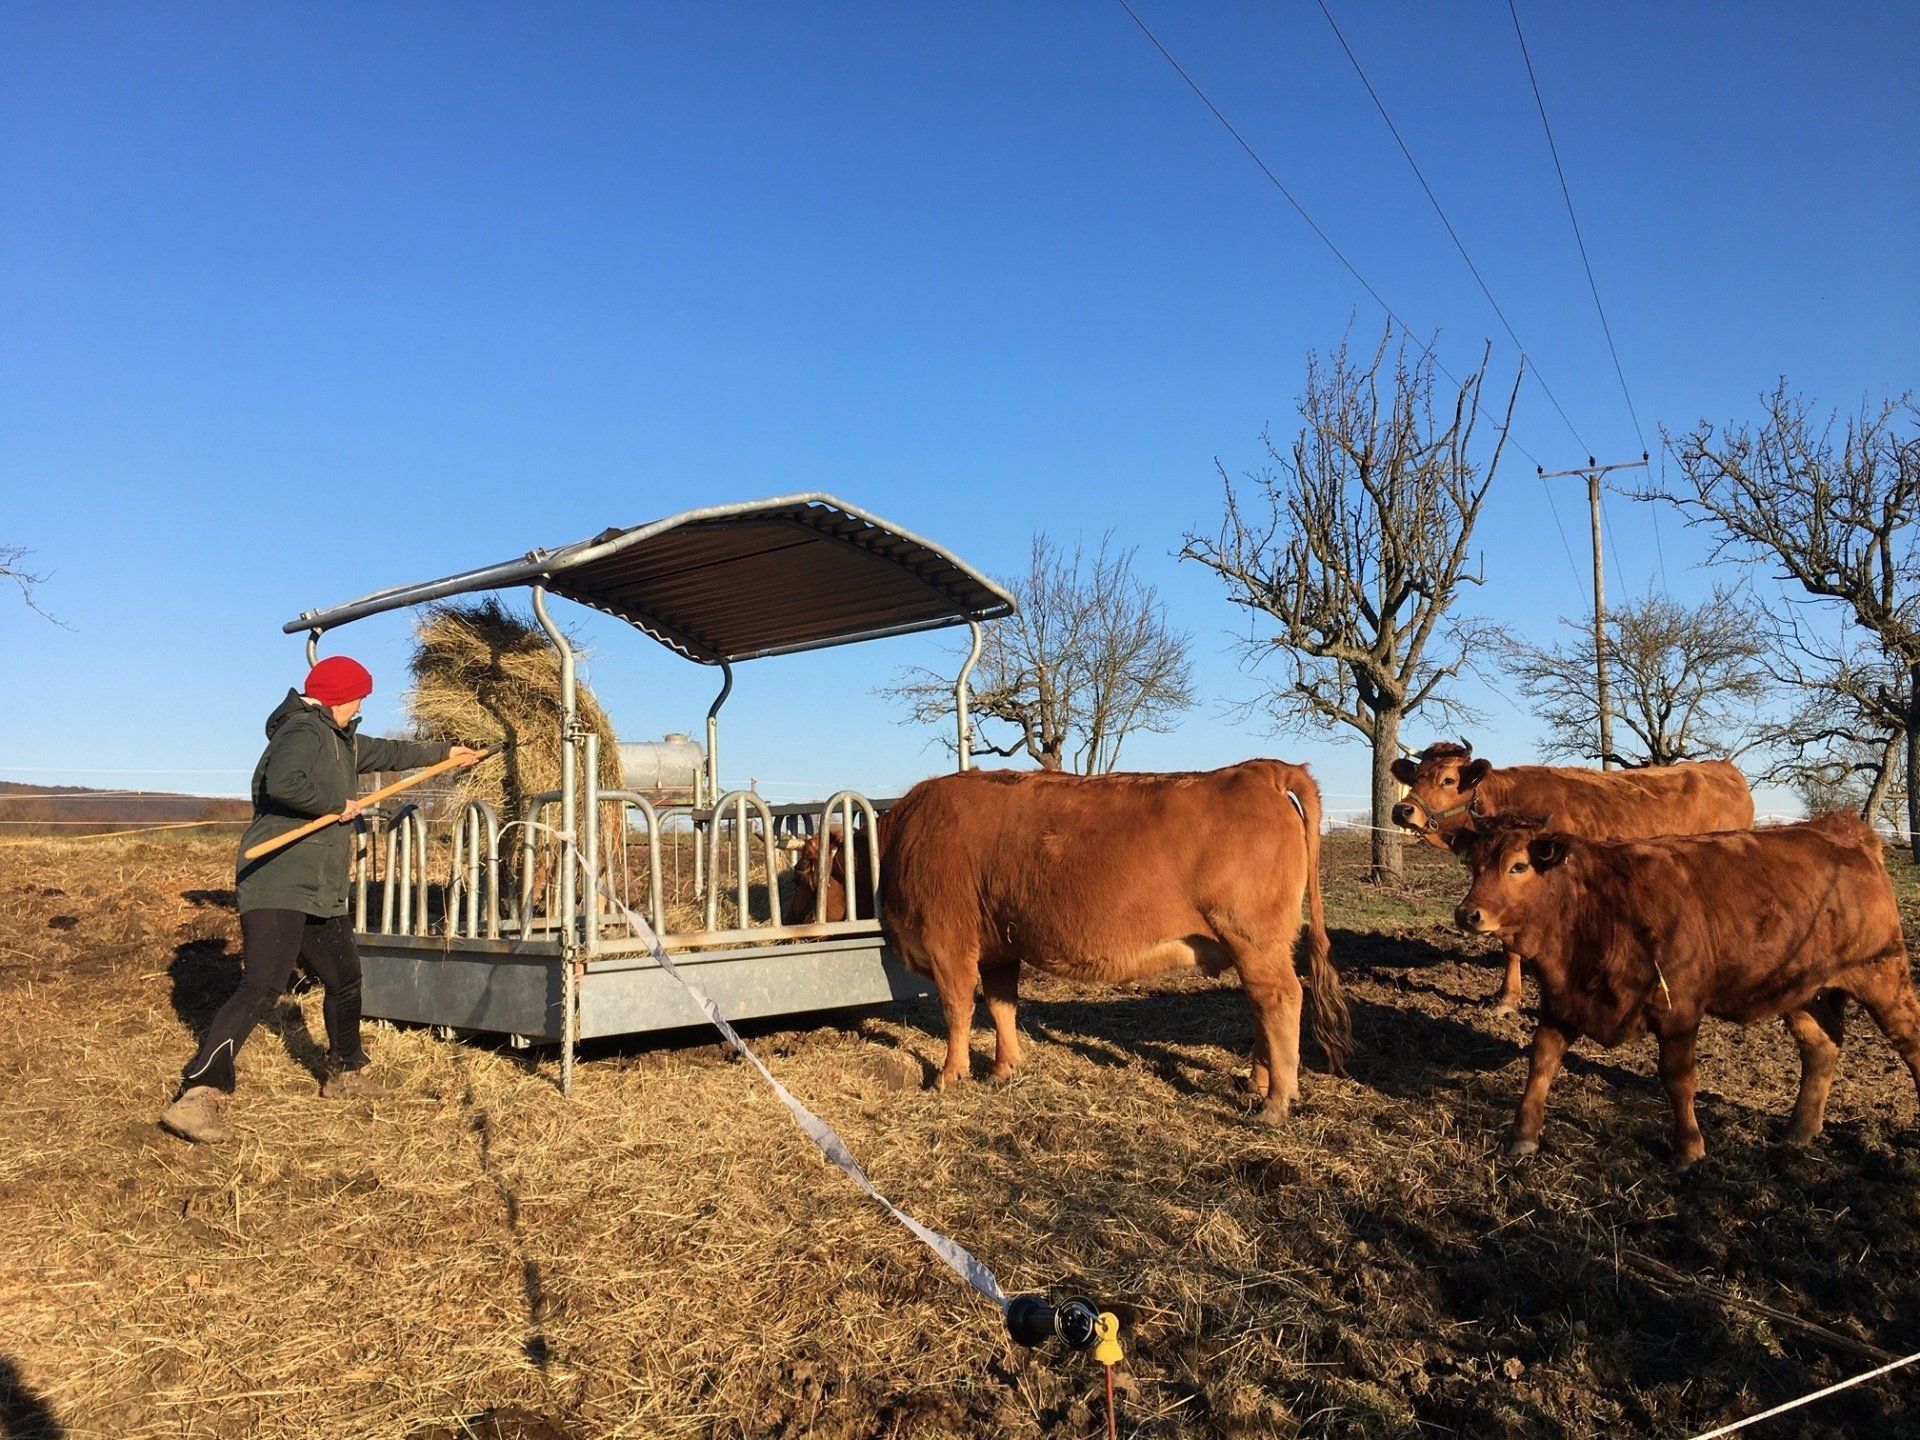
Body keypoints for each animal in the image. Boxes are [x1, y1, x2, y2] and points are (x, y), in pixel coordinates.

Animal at [792, 762, 1350, 1121]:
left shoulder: (949, 943)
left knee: (1281, 999)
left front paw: (950, 1075)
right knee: (1261, 1005)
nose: (797, 922)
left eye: (803, 873)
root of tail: (1262, 770)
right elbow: (1001, 1005)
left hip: (1253, 938)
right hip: (1255, 946)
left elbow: (956, 1009)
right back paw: (1258, 1082)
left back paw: (1276, 1103)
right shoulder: (999, 947)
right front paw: (1004, 1068)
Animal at [1451, 811, 1920, 1170]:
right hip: (1801, 990)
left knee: (1910, 1040)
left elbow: (1677, 1079)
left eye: (1519, 866)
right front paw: (1523, 1135)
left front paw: (1689, 1150)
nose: (1467, 914)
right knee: (1820, 1048)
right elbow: (1542, 1062)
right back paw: (1799, 1132)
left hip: (1882, 975)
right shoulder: (1560, 1000)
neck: (1601, 907)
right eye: (1475, 865)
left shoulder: (1678, 1010)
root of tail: (1843, 829)